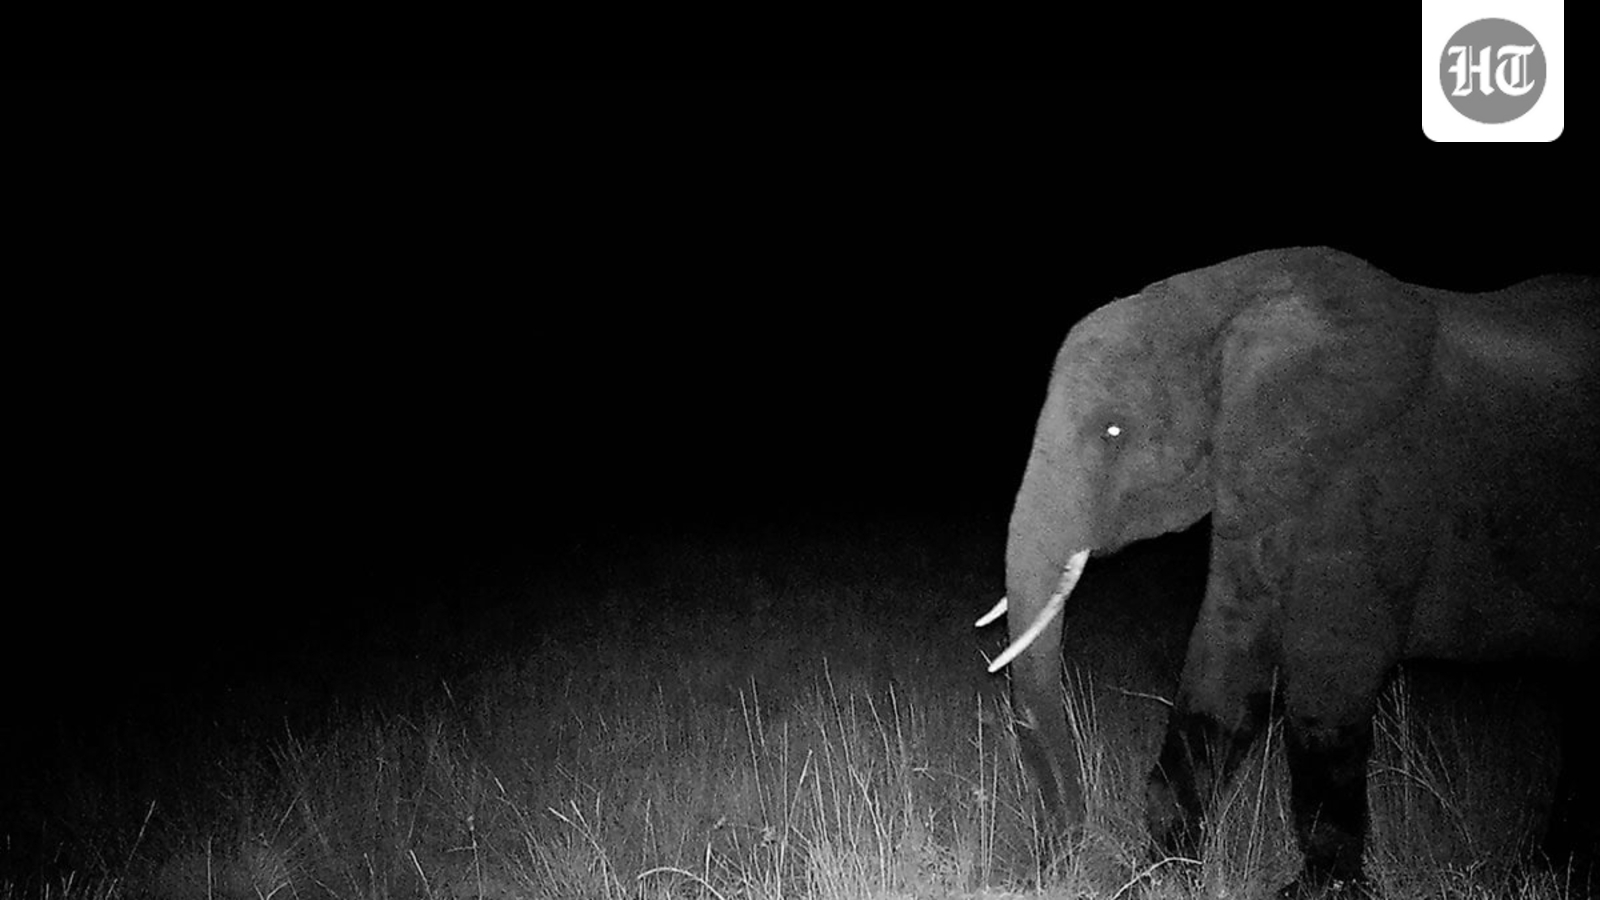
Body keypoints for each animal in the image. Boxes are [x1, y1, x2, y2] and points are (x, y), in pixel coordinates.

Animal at [978, 247, 1598, 898]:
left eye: (1114, 431)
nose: (1063, 853)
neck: (1225, 304)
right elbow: (1224, 664)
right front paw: (1161, 874)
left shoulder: (1368, 481)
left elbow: (1331, 682)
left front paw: (1317, 891)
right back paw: (1550, 871)